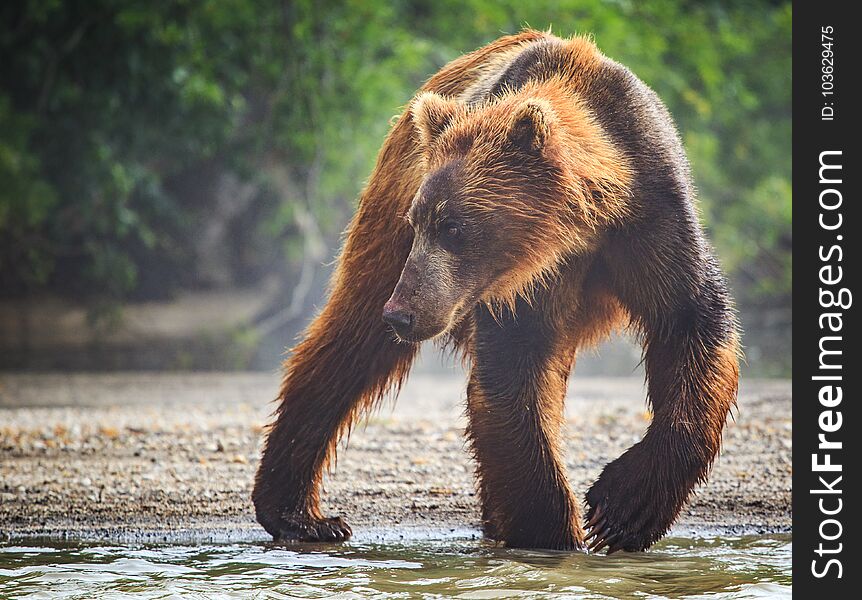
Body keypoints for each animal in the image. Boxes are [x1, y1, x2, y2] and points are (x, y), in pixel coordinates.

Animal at [251, 28, 744, 552]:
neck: (579, 227)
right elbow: (514, 375)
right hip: (386, 225)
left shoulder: (651, 216)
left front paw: (624, 507)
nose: (401, 314)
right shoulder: (519, 286)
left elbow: (691, 325)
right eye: (422, 221)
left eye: (453, 227)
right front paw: (557, 532)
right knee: (349, 342)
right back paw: (302, 514)